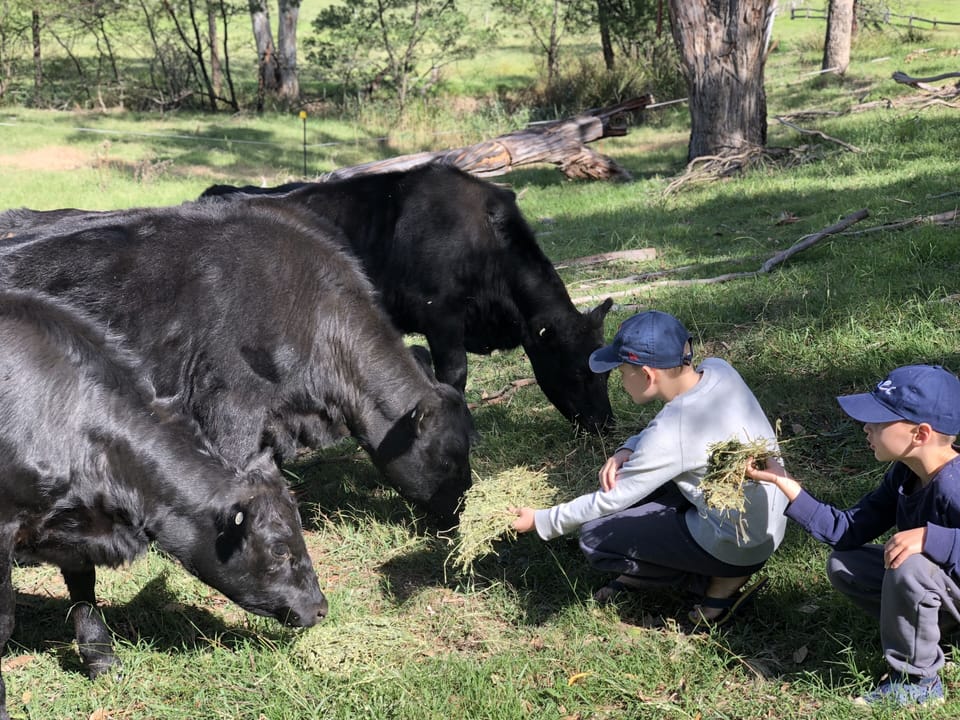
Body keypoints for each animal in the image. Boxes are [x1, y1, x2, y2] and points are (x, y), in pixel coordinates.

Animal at [0, 289, 328, 720]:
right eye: (278, 549)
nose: (321, 608)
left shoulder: (75, 531)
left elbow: (85, 595)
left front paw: (104, 665)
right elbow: (4, 620)